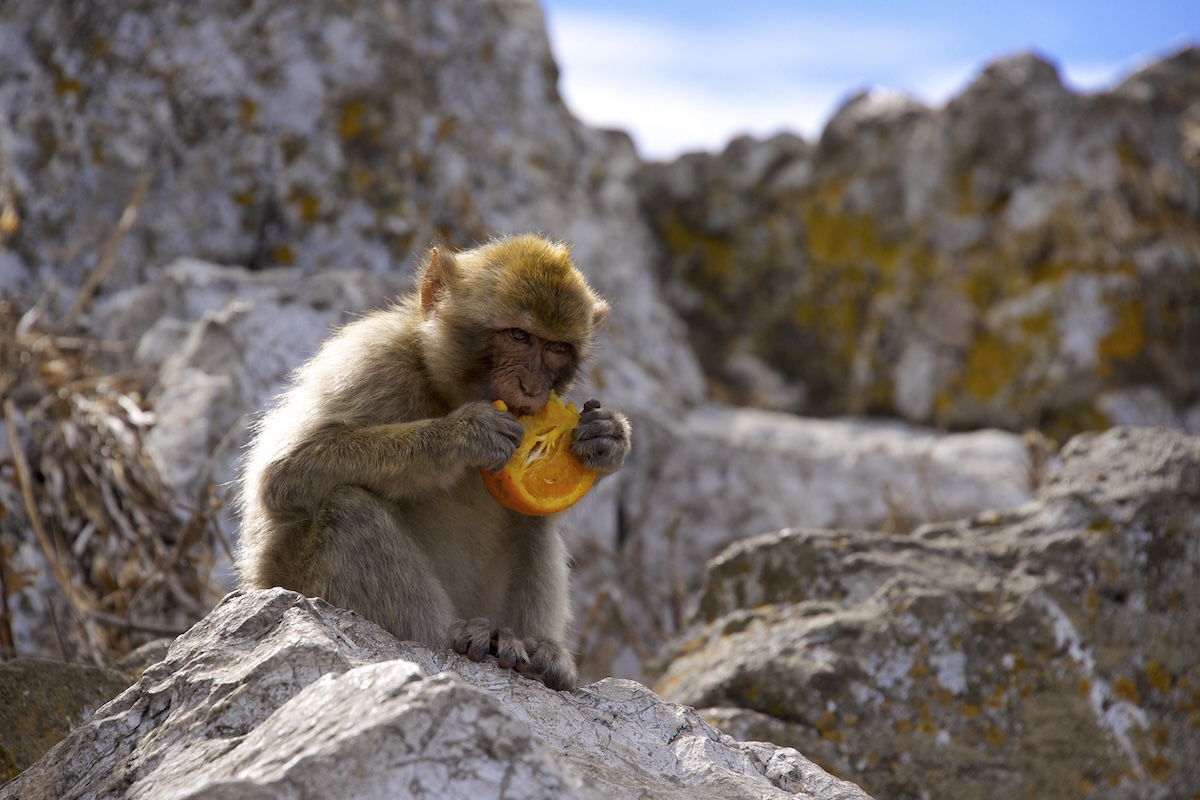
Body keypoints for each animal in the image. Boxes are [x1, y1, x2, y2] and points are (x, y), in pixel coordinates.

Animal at [231, 235, 628, 690]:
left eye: (557, 348)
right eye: (518, 336)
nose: (531, 387)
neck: (447, 390)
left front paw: (607, 439)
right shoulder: (372, 362)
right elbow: (282, 476)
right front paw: (464, 435)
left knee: (533, 520)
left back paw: (540, 657)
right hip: (296, 584)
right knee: (348, 508)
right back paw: (452, 638)